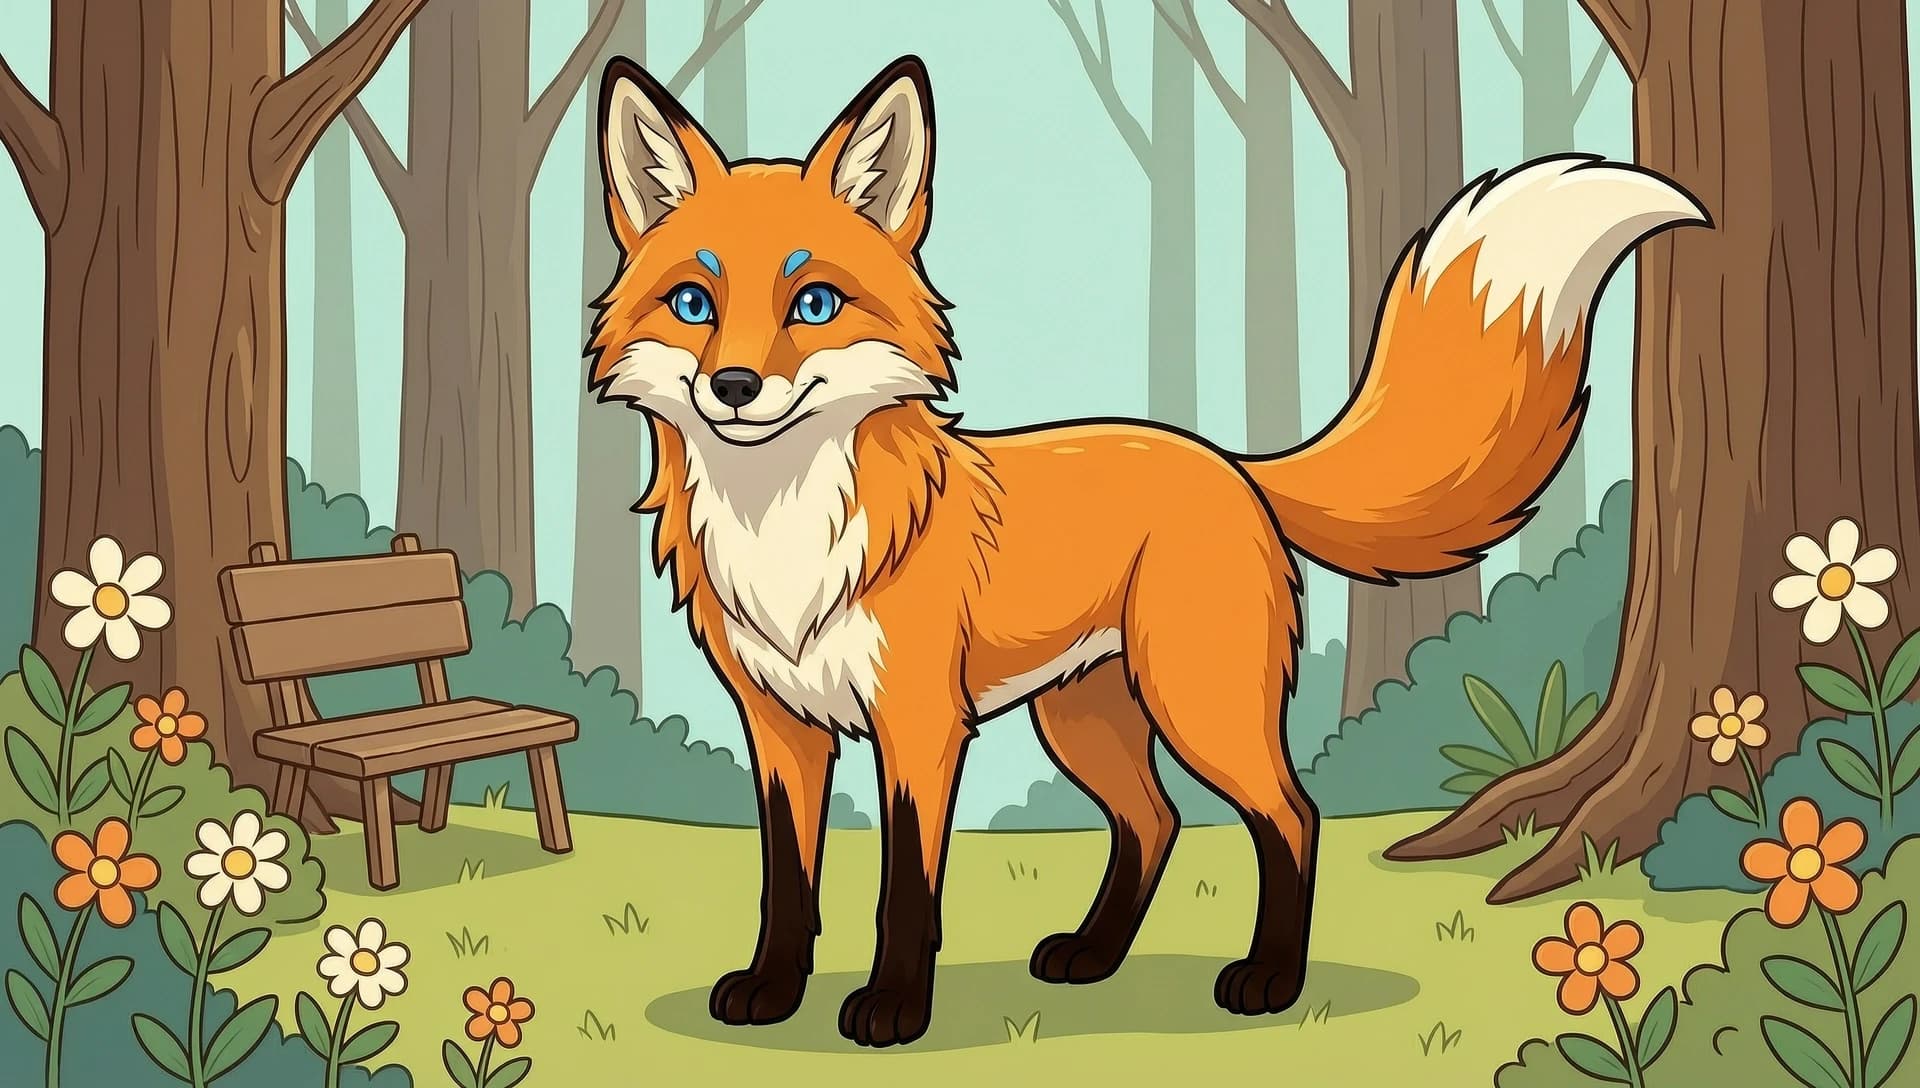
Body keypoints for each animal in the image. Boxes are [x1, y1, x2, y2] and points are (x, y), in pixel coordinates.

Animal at [584, 54, 1706, 1048]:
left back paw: (1270, 980)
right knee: (1155, 820)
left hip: (1197, 701)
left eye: (812, 303)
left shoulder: (921, 728)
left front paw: (895, 1009)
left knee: (1291, 814)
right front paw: (774, 992)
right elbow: (787, 882)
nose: (734, 387)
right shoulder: (781, 727)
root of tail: (1229, 462)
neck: (783, 534)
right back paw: (1094, 954)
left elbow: (906, 889)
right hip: (1086, 716)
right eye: (694, 305)